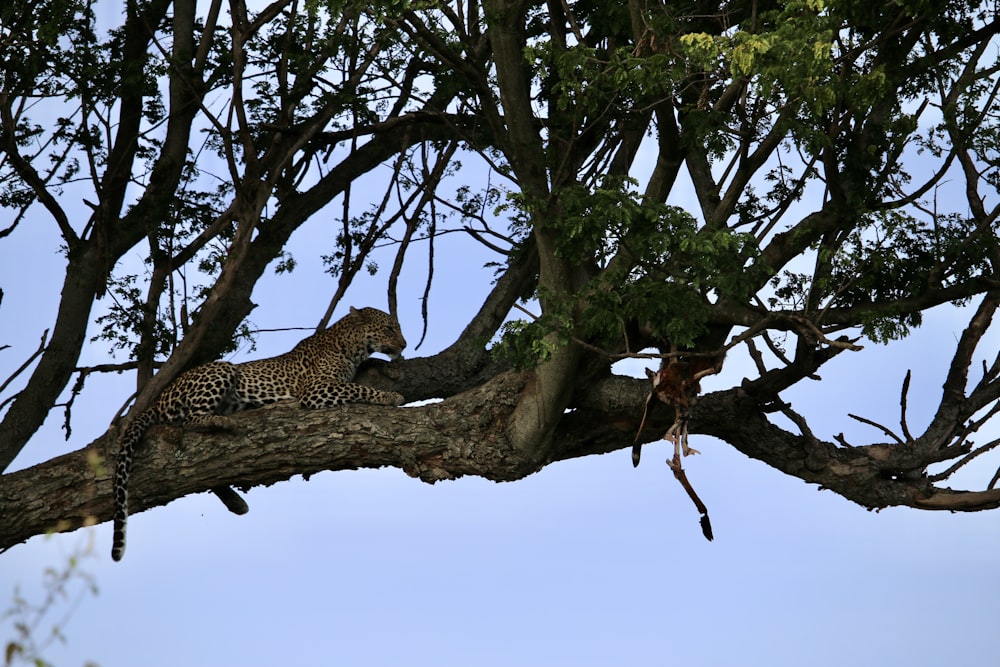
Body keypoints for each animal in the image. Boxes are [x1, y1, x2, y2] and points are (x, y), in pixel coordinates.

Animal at [110, 308, 406, 564]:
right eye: (389, 328)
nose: (403, 345)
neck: (349, 347)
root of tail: (159, 397)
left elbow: (367, 369)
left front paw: (387, 367)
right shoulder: (316, 389)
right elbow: (359, 389)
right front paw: (390, 396)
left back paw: (236, 501)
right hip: (222, 368)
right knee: (191, 421)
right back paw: (221, 421)